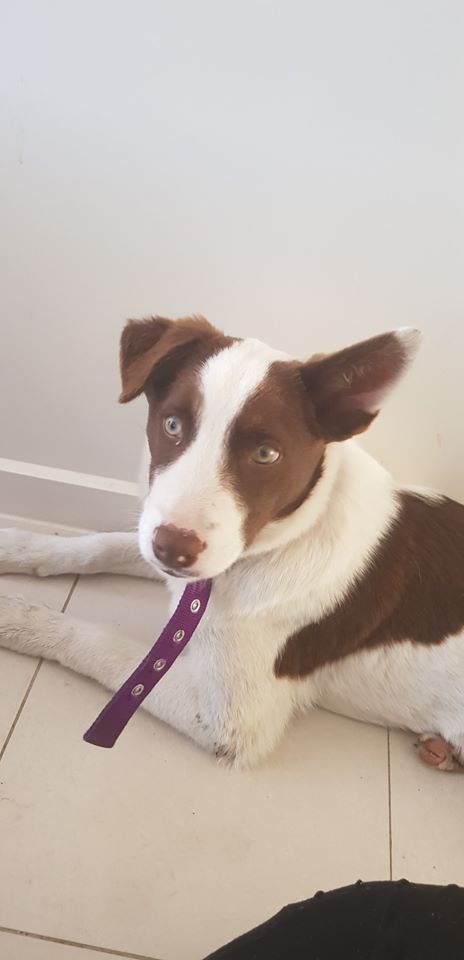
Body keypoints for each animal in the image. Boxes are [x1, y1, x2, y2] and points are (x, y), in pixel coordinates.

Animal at [1, 315, 463, 770]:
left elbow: (109, 648)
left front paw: (18, 617)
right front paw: (16, 547)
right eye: (172, 425)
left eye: (265, 454)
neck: (285, 539)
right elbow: (100, 545)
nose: (173, 549)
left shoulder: (229, 721)